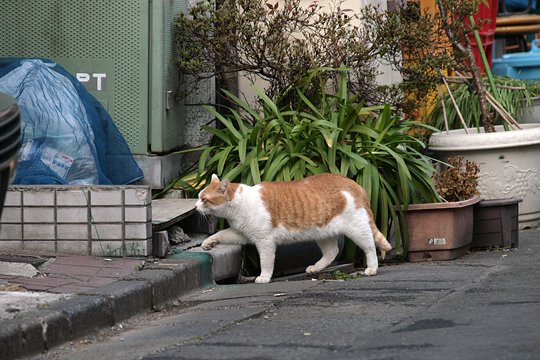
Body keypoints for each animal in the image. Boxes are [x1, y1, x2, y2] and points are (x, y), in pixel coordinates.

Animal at [196, 173, 390, 282]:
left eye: (204, 199)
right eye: (198, 197)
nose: (196, 206)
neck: (239, 204)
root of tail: (353, 184)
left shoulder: (264, 241)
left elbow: (266, 262)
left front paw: (264, 277)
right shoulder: (241, 234)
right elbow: (222, 234)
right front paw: (208, 243)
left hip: (357, 229)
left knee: (370, 247)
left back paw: (371, 269)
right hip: (323, 233)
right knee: (332, 252)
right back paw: (315, 268)